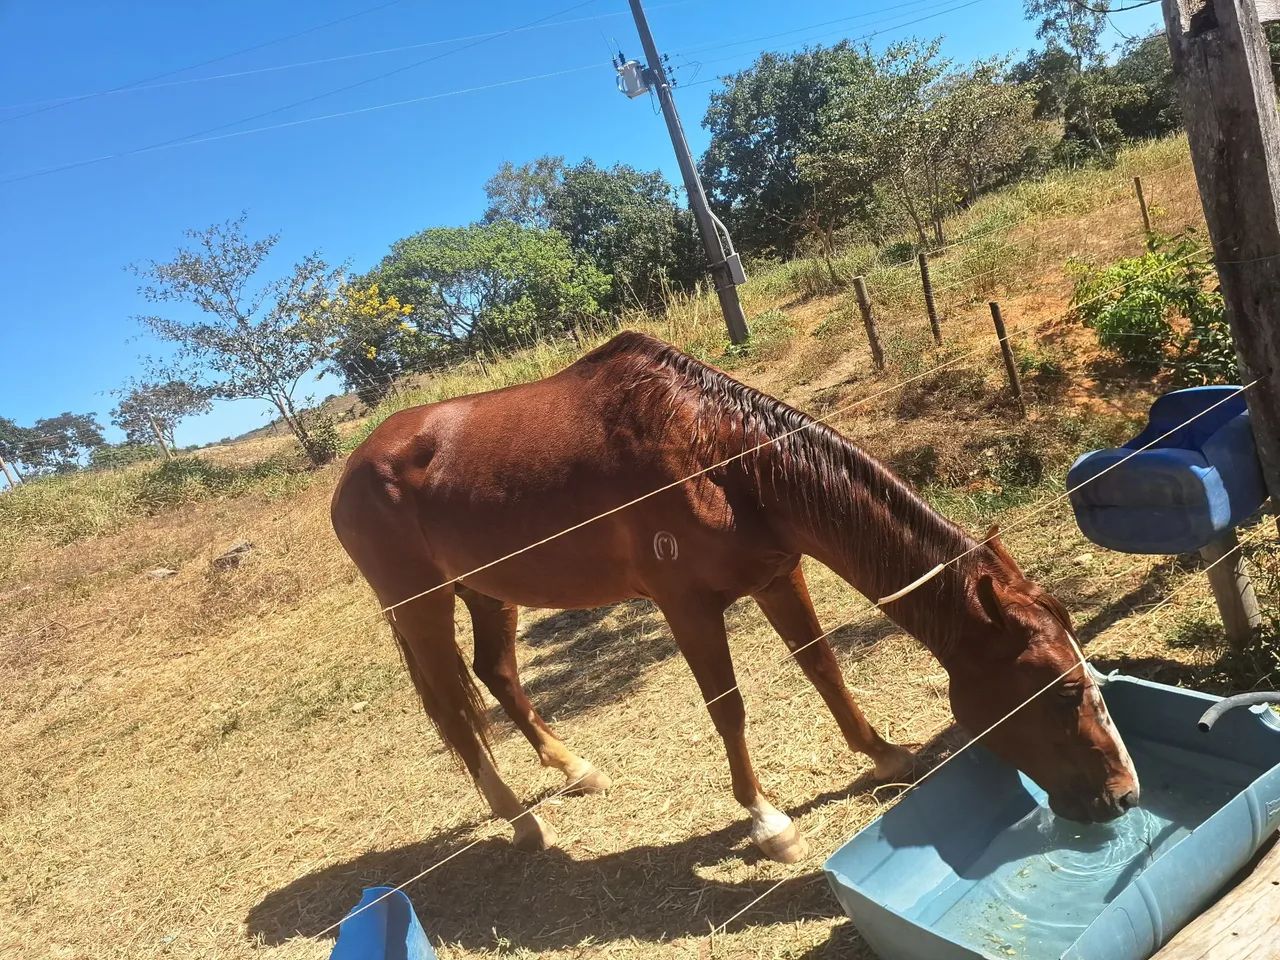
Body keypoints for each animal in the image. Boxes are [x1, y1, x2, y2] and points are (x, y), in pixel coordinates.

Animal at [330, 331, 1139, 863]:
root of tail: (353, 469)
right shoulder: (685, 605)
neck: (715, 452)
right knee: (452, 710)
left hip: (488, 591)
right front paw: (767, 821)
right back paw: (521, 823)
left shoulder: (780, 574)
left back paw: (575, 770)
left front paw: (884, 755)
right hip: (420, 606)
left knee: (498, 674)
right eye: (1062, 692)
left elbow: (822, 667)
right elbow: (728, 707)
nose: (1126, 794)